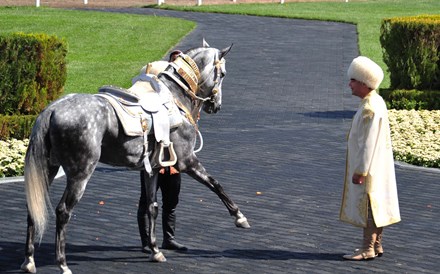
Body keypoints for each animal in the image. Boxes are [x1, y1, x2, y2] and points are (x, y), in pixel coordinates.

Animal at [22, 40, 249, 274]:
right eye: (223, 73)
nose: (216, 105)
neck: (175, 98)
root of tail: (51, 110)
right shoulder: (187, 161)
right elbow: (215, 184)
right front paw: (239, 217)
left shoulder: (152, 170)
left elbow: (152, 207)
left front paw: (155, 250)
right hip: (80, 174)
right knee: (63, 211)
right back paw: (63, 263)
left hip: (48, 168)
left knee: (33, 208)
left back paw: (29, 261)